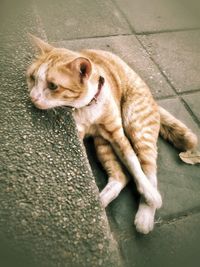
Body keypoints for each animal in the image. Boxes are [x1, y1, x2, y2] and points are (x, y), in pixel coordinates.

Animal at [26, 35, 197, 234]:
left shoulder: (118, 136)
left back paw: (145, 214)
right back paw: (97, 205)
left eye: (53, 86)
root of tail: (153, 99)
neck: (88, 105)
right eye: (32, 78)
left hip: (136, 126)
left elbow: (135, 166)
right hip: (103, 144)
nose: (33, 97)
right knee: (121, 176)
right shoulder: (81, 135)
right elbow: (128, 170)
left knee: (148, 170)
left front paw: (151, 196)